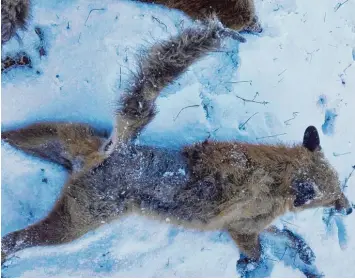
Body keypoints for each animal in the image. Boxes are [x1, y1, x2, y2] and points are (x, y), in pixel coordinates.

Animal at [0, 18, 354, 270]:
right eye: (334, 196)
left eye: (340, 188)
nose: (349, 209)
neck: (275, 183)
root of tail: (119, 148)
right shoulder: (242, 229)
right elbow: (261, 252)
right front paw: (251, 267)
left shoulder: (251, 224)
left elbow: (289, 235)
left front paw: (304, 251)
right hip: (75, 225)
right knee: (16, 240)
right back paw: (8, 252)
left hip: (63, 139)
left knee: (23, 136)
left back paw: (6, 138)